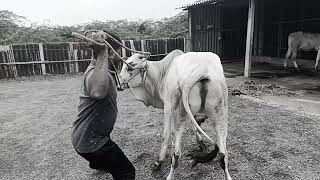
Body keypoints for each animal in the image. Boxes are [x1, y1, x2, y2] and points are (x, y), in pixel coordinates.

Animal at [119, 49, 231, 180]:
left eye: (129, 67)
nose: (119, 82)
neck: (162, 73)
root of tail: (201, 70)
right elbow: (194, 126)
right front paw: (201, 143)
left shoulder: (168, 106)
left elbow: (166, 135)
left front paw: (159, 162)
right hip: (221, 118)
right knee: (223, 155)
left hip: (179, 114)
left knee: (177, 154)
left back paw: (169, 173)